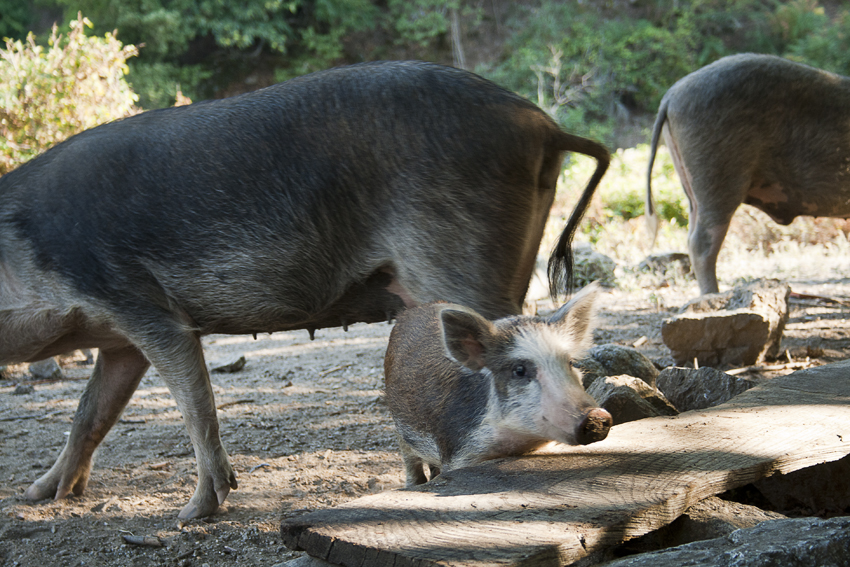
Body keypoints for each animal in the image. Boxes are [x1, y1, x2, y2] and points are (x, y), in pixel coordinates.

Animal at [382, 282, 608, 484]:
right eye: (519, 370)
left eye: (570, 362)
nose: (598, 415)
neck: (517, 445)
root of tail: (414, 310)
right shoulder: (459, 454)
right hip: (399, 427)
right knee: (411, 463)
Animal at [644, 52, 848, 298]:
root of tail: (670, 96)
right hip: (718, 173)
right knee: (702, 243)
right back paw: (714, 296)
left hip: (691, 186)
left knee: (692, 232)